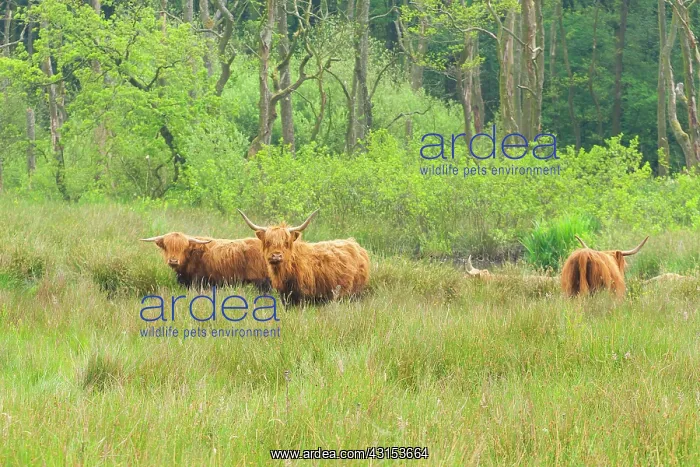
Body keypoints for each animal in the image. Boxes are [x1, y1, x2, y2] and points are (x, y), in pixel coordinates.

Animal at [237, 209, 370, 303]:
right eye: (268, 242)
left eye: (286, 243)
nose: (276, 256)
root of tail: (355, 244)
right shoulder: (286, 298)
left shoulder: (304, 297)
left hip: (354, 294)